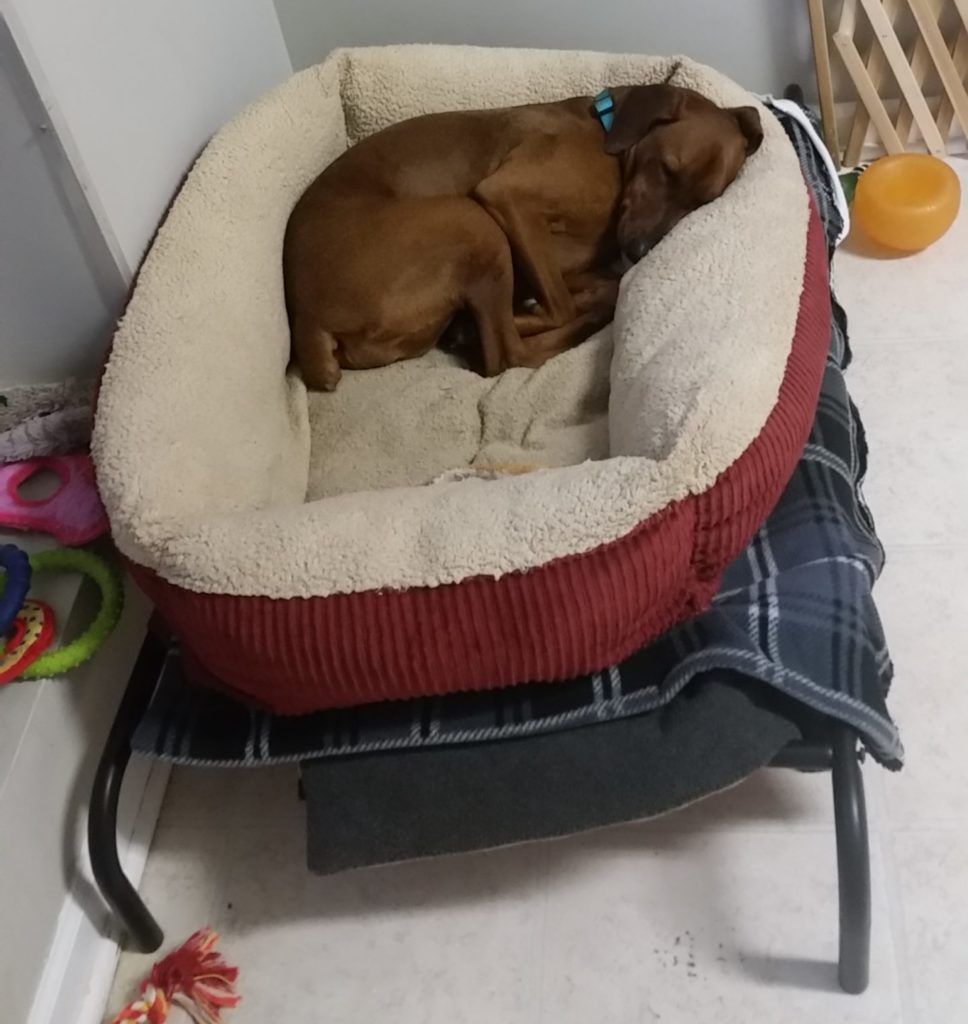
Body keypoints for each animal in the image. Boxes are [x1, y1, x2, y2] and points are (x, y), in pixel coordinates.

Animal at [282, 80, 758, 387]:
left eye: (701, 202)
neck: (607, 138)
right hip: (474, 224)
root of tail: (308, 322)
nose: (641, 250)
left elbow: (602, 282)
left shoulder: (570, 259)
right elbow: (561, 305)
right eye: (666, 169)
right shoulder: (509, 197)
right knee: (509, 355)